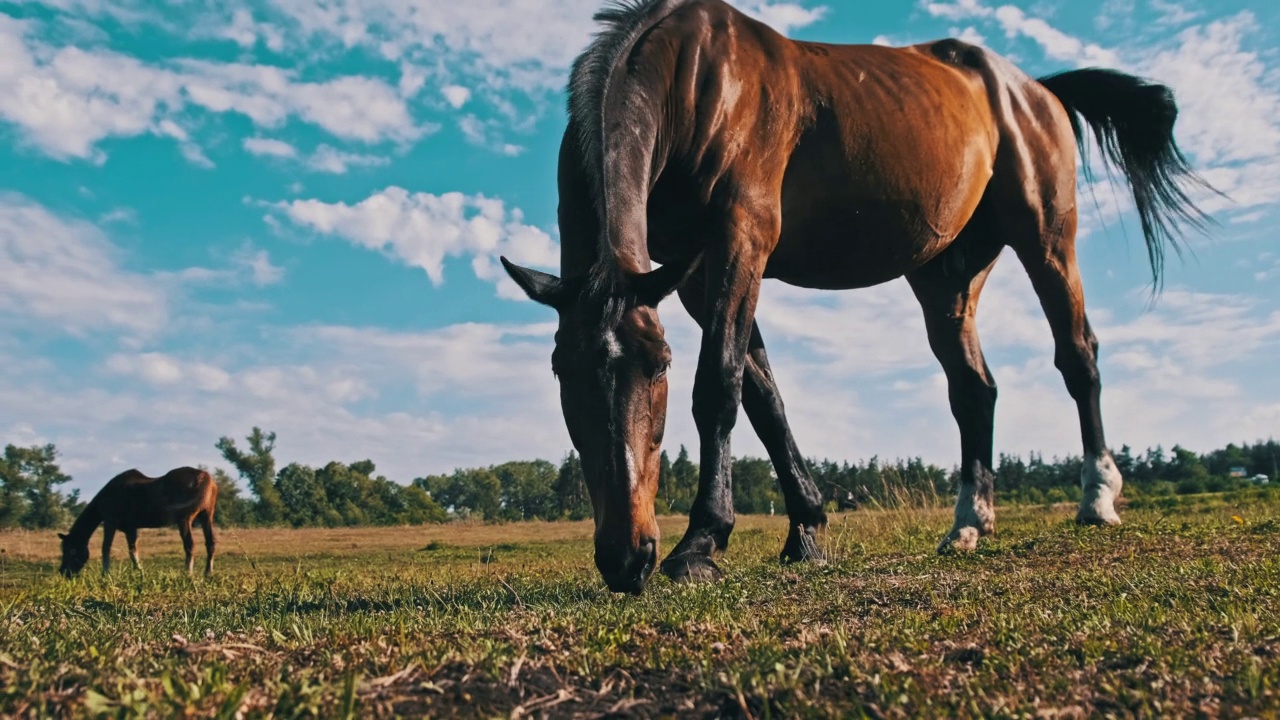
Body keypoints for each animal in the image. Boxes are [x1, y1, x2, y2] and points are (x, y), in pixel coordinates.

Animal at [58, 466, 218, 576]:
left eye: (72, 550)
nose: (64, 572)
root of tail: (205, 477)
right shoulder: (130, 528)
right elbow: (132, 551)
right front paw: (140, 572)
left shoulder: (110, 522)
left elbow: (106, 547)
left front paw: (105, 574)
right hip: (206, 516)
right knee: (210, 543)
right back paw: (207, 573)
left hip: (185, 519)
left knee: (189, 545)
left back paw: (188, 573)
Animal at [499, 0, 1208, 594]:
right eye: (562, 371)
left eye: (660, 365)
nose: (627, 557)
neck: (696, 82)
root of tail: (1034, 89)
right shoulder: (696, 275)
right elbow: (763, 396)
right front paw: (806, 529)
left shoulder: (739, 241)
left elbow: (720, 386)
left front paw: (701, 543)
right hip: (946, 277)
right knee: (973, 390)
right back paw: (969, 524)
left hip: (1046, 237)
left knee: (1077, 356)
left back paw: (1097, 497)